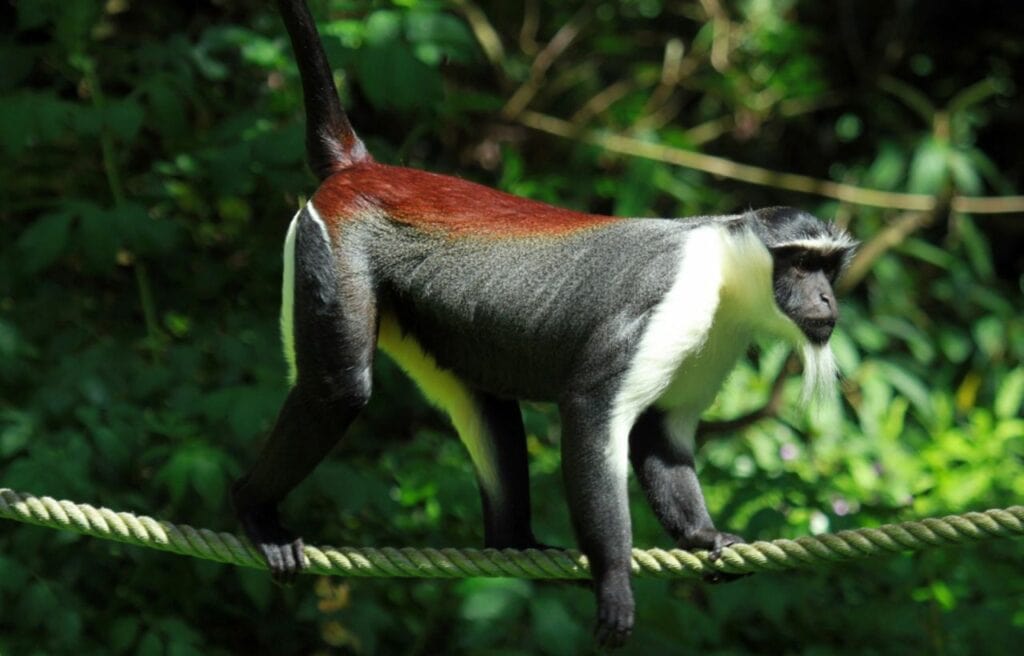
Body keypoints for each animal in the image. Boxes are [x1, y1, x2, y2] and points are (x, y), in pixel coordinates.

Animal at [231, 0, 858, 647]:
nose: (826, 299)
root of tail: (360, 170)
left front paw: (703, 536)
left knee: (486, 403)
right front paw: (614, 582)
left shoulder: (718, 338)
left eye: (830, 267)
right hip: (335, 244)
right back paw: (255, 511)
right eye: (801, 263)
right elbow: (591, 411)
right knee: (339, 388)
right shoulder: (669, 302)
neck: (726, 271)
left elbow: (661, 435)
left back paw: (513, 543)